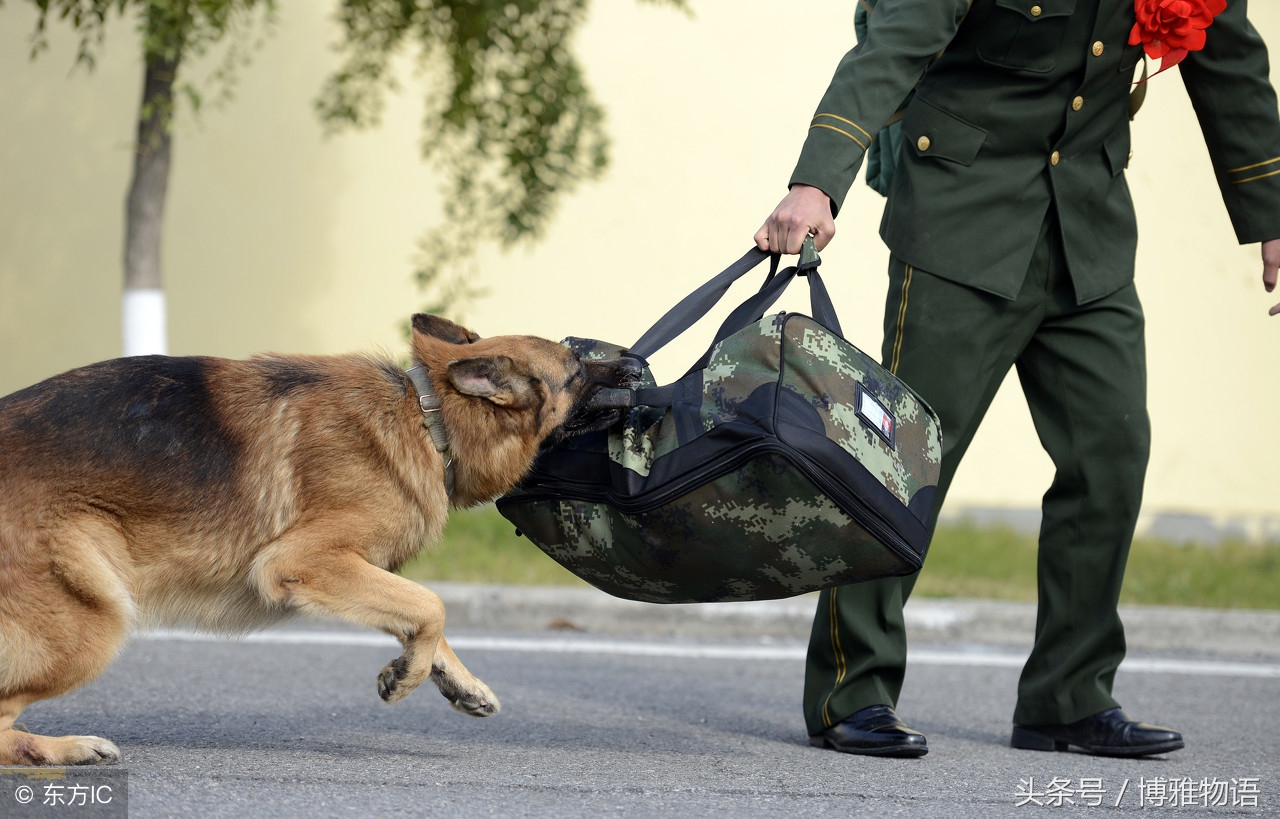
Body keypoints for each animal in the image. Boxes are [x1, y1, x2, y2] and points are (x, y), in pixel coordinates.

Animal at [0, 313, 640, 767]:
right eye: (577, 370)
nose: (635, 366)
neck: (425, 415)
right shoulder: (303, 561)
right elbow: (431, 605)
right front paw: (406, 678)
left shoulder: (358, 568)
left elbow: (419, 615)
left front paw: (454, 680)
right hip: (94, 620)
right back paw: (59, 749)